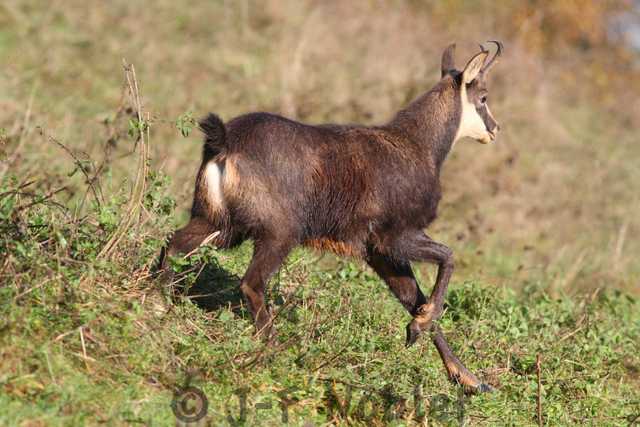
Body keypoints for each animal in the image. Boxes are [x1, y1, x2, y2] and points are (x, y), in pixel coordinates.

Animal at [159, 41, 503, 394]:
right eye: (484, 97)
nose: (495, 129)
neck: (419, 146)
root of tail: (224, 142)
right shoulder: (394, 237)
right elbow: (448, 258)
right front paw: (418, 329)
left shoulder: (377, 253)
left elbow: (415, 298)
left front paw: (470, 379)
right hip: (279, 232)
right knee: (251, 283)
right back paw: (274, 348)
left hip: (218, 223)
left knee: (173, 245)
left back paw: (162, 306)